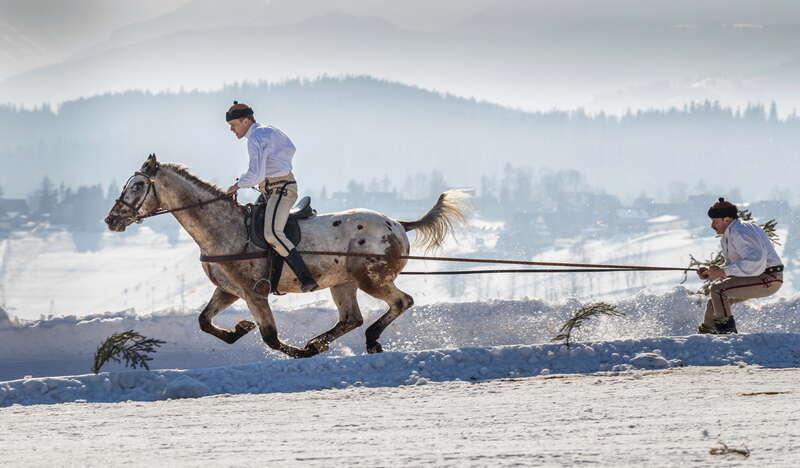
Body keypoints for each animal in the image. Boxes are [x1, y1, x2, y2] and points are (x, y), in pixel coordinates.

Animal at [105, 154, 468, 358]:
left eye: (137, 186)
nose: (111, 219)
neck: (222, 230)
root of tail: (397, 224)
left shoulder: (254, 293)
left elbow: (270, 336)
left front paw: (292, 350)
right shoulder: (228, 290)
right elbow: (204, 321)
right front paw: (239, 329)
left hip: (371, 278)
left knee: (401, 302)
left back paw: (366, 341)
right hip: (343, 283)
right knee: (351, 318)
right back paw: (321, 343)